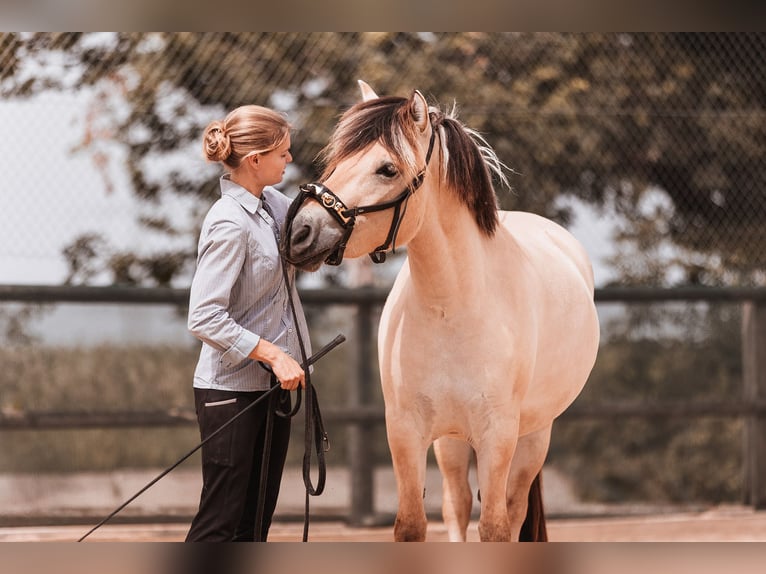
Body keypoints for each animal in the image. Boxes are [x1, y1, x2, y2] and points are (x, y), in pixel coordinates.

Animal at [282, 82, 600, 544]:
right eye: (338, 160)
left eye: (387, 169)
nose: (300, 232)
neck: (452, 308)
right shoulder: (405, 430)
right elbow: (413, 524)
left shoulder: (498, 434)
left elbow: (496, 527)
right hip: (450, 440)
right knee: (457, 504)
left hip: (534, 434)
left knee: (513, 509)